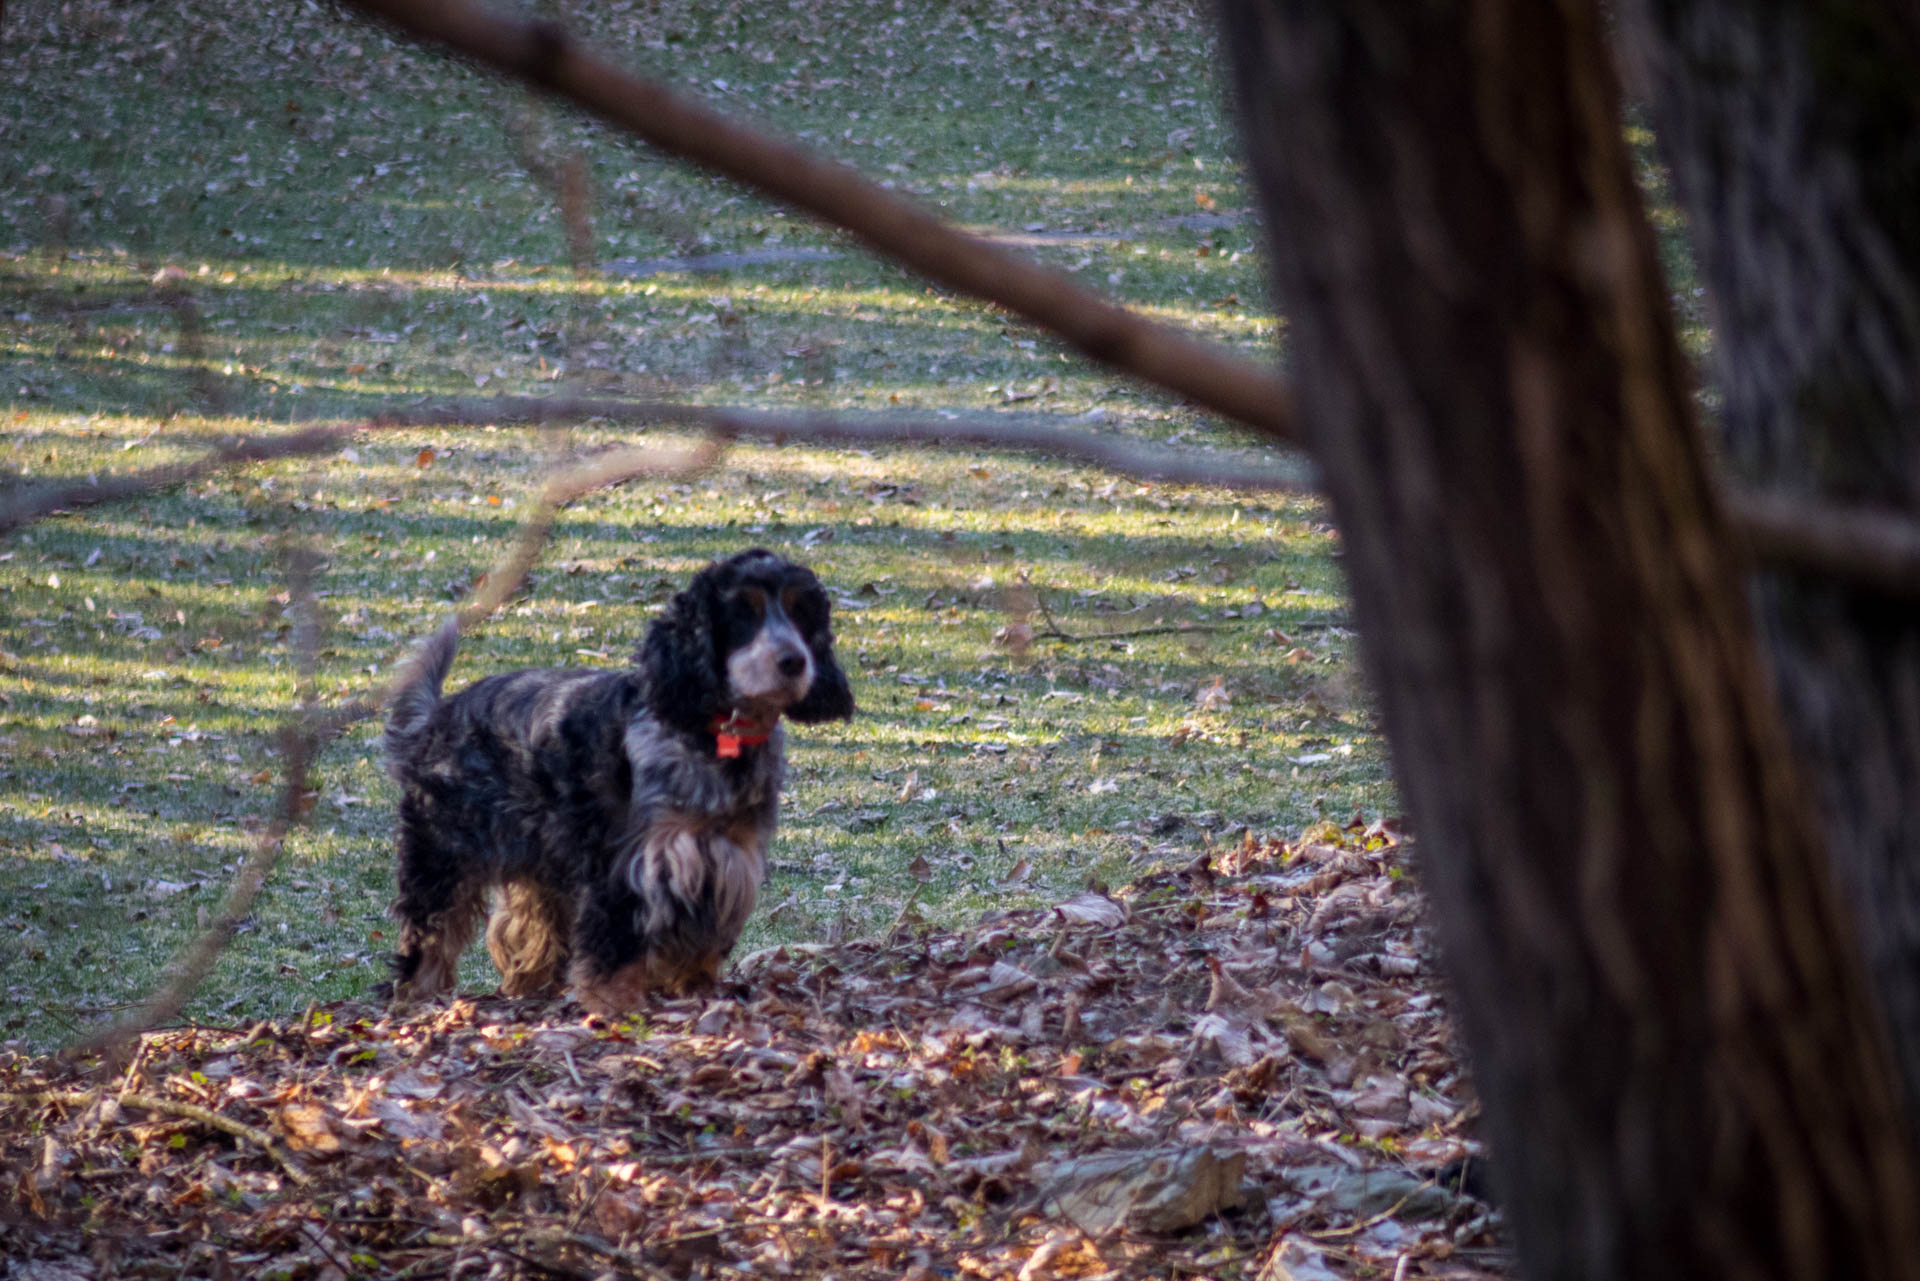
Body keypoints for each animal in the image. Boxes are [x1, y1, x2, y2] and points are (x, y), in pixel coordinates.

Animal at [378, 549, 852, 1014]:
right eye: (742, 614)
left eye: (801, 612)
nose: (795, 662)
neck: (712, 732)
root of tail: (436, 718)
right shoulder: (627, 864)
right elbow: (615, 944)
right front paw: (616, 1004)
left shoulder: (725, 859)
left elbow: (701, 939)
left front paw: (694, 990)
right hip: (443, 852)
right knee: (429, 934)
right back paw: (421, 996)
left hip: (540, 859)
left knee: (526, 926)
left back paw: (528, 986)